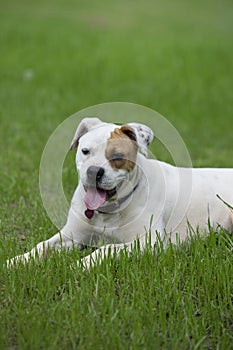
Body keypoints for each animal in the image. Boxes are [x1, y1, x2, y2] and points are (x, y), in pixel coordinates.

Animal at [6, 117, 233, 268]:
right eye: (85, 151)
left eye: (117, 157)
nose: (94, 171)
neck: (108, 210)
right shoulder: (73, 235)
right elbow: (42, 246)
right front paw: (17, 261)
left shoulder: (149, 242)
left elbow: (107, 249)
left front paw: (80, 265)